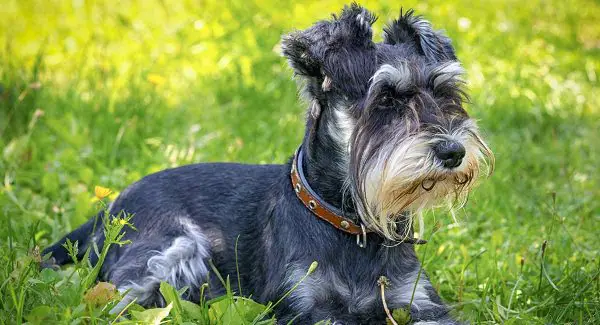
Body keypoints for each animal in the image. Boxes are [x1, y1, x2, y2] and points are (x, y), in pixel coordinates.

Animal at [42, 5, 492, 324]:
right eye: (387, 99)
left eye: (446, 92)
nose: (453, 152)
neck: (351, 224)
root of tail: (110, 208)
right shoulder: (305, 307)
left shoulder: (417, 302)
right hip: (171, 249)